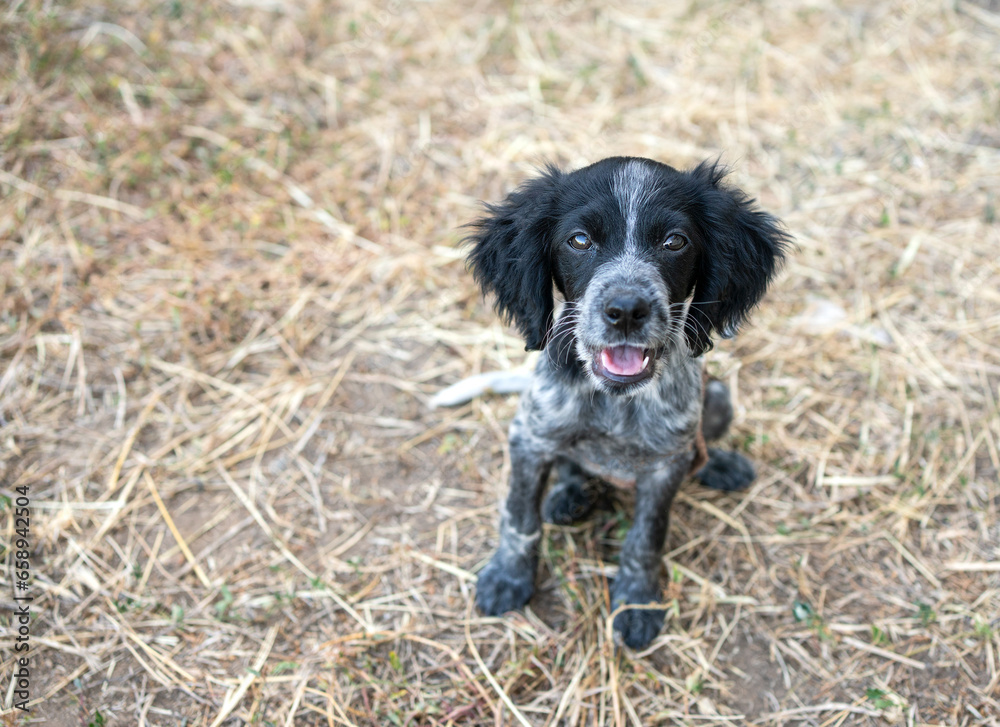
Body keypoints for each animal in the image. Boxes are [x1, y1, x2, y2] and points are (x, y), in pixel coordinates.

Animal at [466, 158, 788, 648]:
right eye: (580, 240)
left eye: (675, 241)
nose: (626, 310)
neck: (615, 401)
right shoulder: (531, 437)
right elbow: (520, 518)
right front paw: (508, 577)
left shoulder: (666, 464)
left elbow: (645, 538)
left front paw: (637, 603)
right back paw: (569, 495)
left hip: (717, 398)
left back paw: (719, 465)